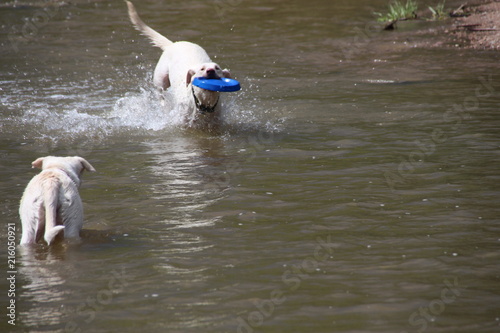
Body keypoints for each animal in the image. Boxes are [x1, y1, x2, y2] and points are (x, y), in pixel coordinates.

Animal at [126, 0, 233, 128]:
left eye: (217, 68)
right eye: (202, 69)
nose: (210, 71)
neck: (204, 103)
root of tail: (173, 44)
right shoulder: (182, 122)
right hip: (161, 80)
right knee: (160, 94)